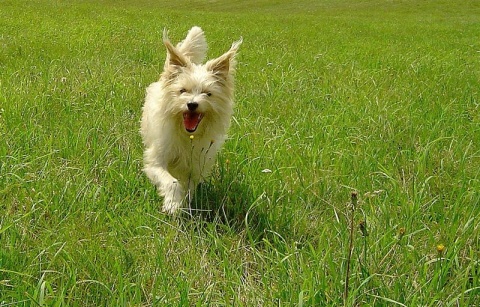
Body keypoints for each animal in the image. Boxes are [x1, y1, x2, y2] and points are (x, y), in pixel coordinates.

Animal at [141, 25, 242, 214]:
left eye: (208, 94)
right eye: (183, 90)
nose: (192, 104)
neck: (187, 135)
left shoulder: (194, 169)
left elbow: (188, 189)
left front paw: (182, 204)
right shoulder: (156, 161)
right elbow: (172, 182)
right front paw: (172, 204)